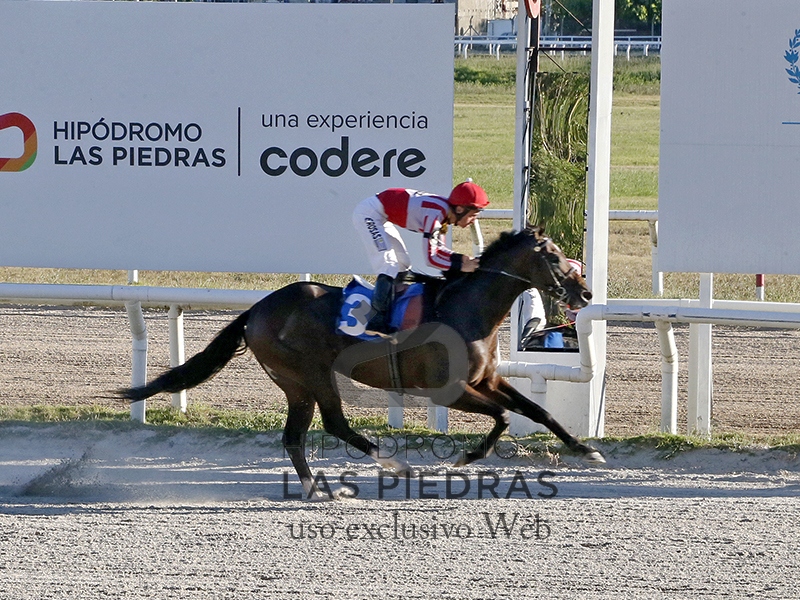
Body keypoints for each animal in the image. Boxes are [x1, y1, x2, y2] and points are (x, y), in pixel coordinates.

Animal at [119, 227, 603, 500]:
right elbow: (503, 417)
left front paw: (587, 450)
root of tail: (255, 310)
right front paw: (465, 458)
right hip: (309, 374)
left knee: (295, 436)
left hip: (296, 384)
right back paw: (394, 467)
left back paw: (315, 489)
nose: (585, 292)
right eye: (554, 255)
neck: (466, 309)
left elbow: (537, 411)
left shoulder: (486, 380)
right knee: (333, 424)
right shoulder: (450, 390)